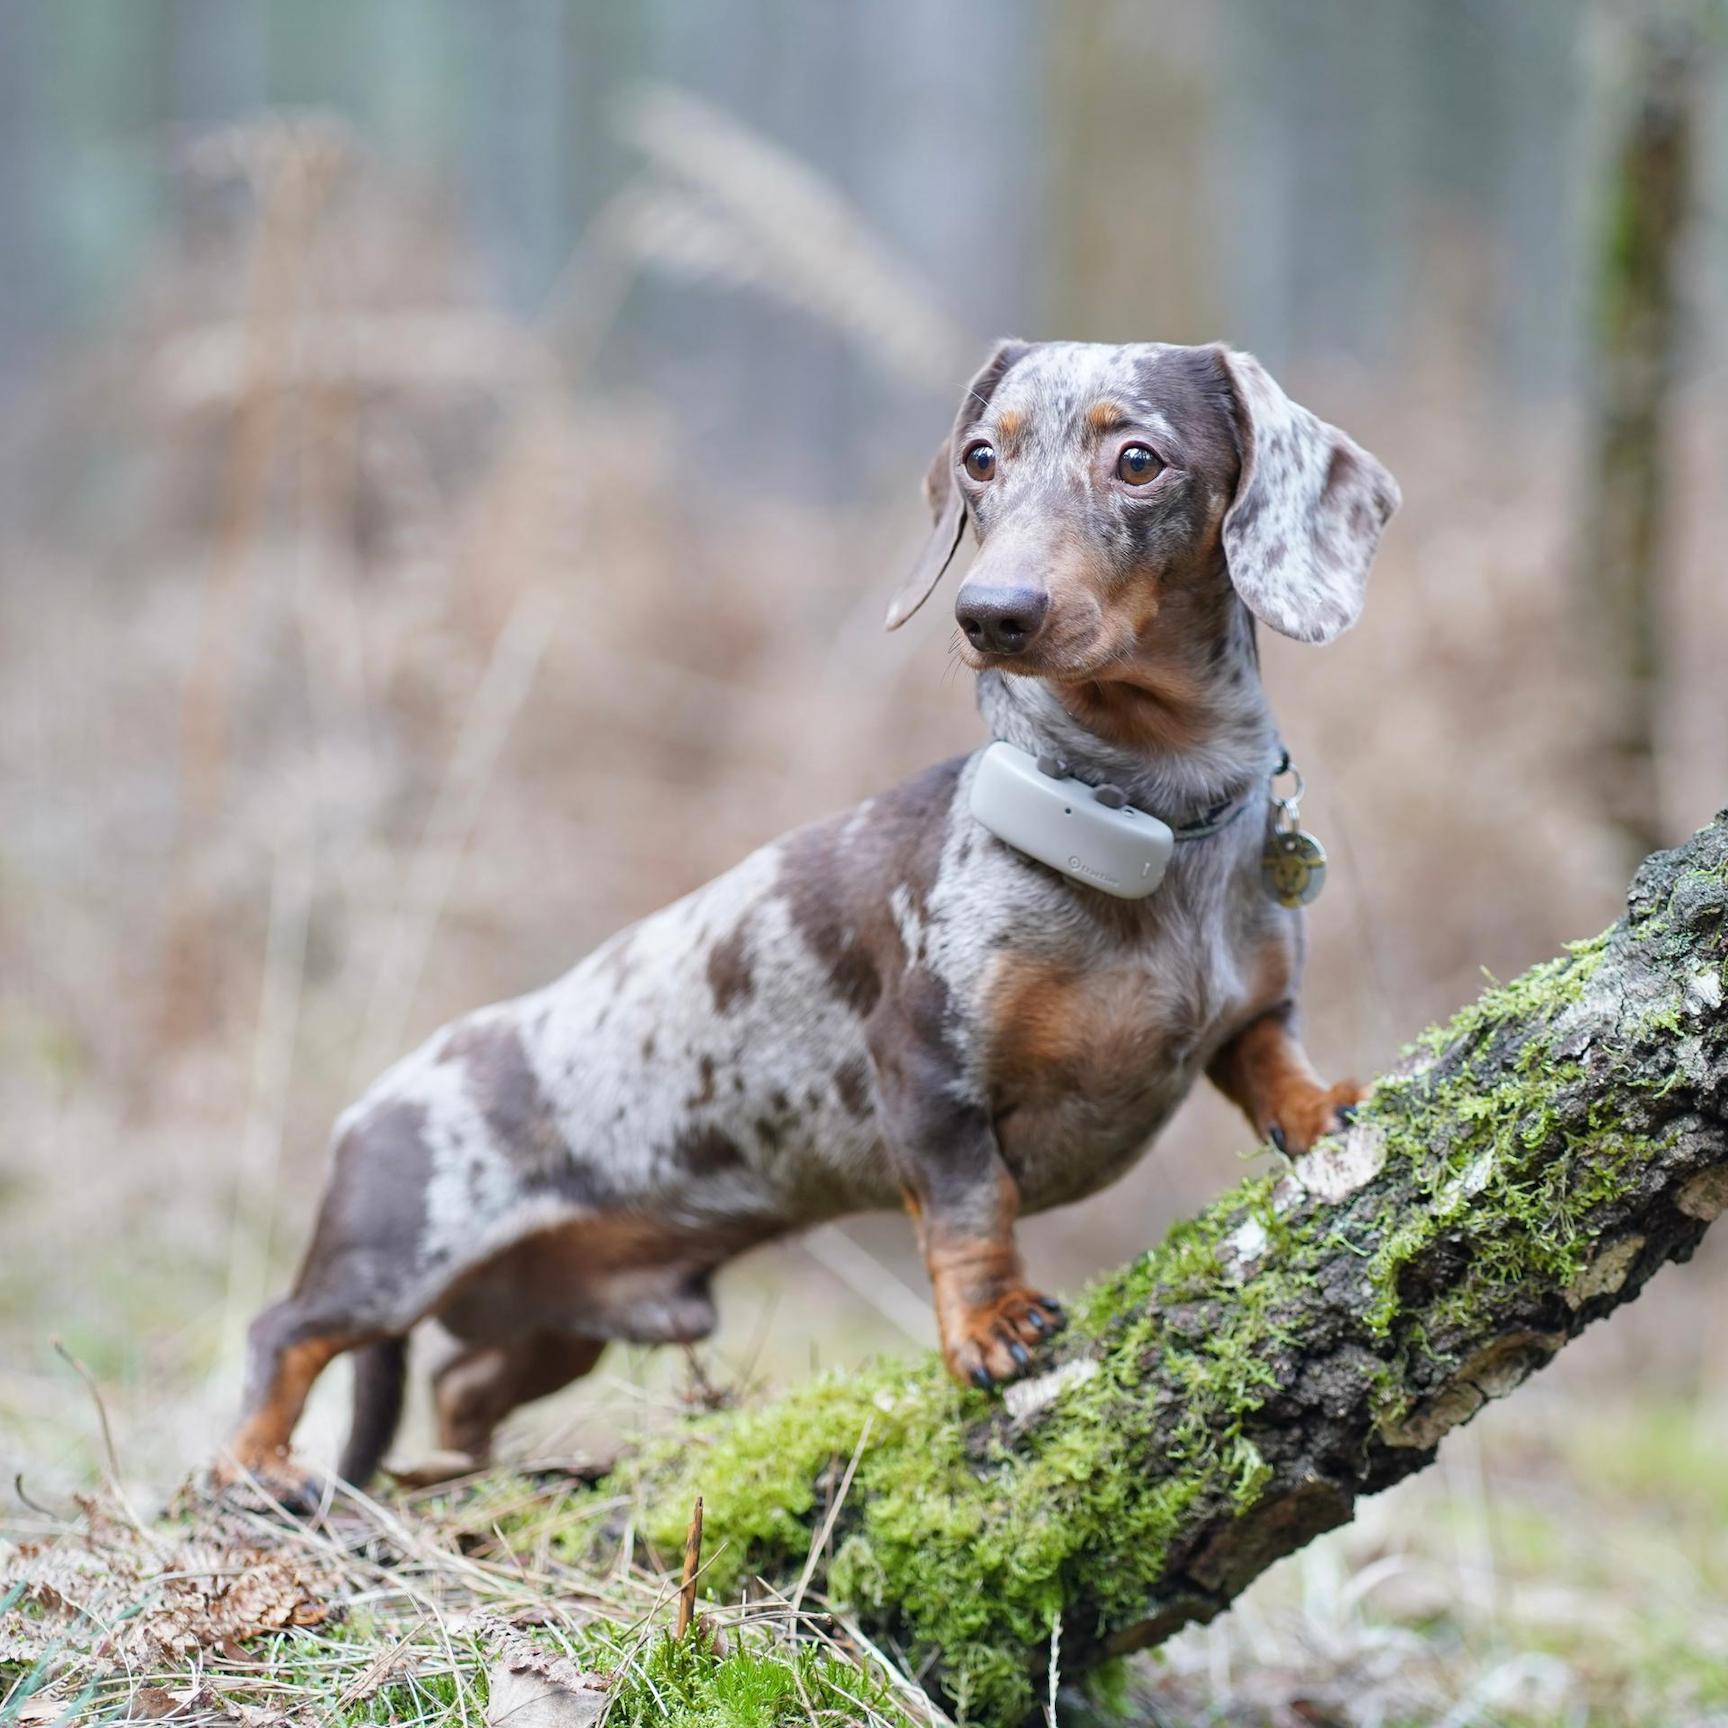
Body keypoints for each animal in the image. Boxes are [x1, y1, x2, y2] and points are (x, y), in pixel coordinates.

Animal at [222, 343, 1396, 1492]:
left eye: (1140, 460)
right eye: (980, 458)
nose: (990, 612)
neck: (1139, 817)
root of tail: (368, 1106)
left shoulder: (1252, 1010)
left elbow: (1267, 1060)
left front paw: (1317, 1107)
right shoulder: (926, 1075)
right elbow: (972, 1210)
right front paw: (991, 1325)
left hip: (567, 1326)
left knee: (459, 1383)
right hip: (390, 1260)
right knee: (283, 1331)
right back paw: (257, 1466)